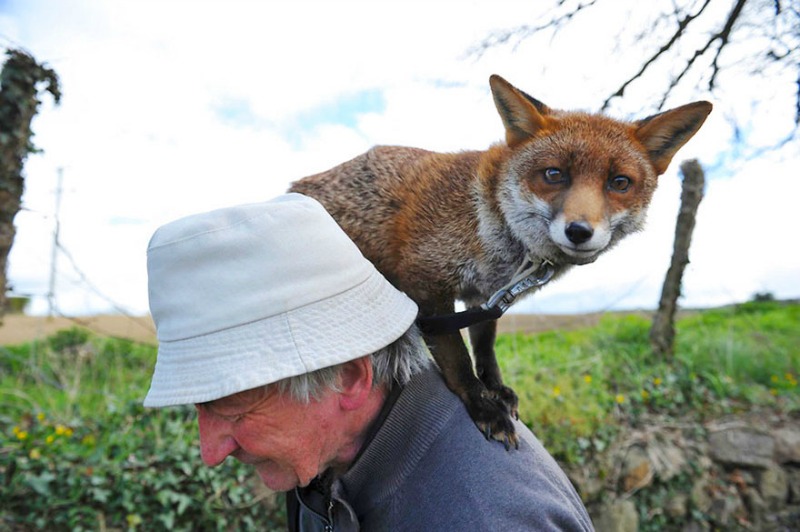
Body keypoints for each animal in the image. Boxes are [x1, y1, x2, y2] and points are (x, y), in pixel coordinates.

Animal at [290, 75, 712, 446]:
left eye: (619, 183)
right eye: (554, 174)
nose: (579, 231)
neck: (490, 220)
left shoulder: (485, 295)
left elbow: (485, 348)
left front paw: (495, 389)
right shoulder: (426, 281)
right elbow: (457, 358)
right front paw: (482, 406)